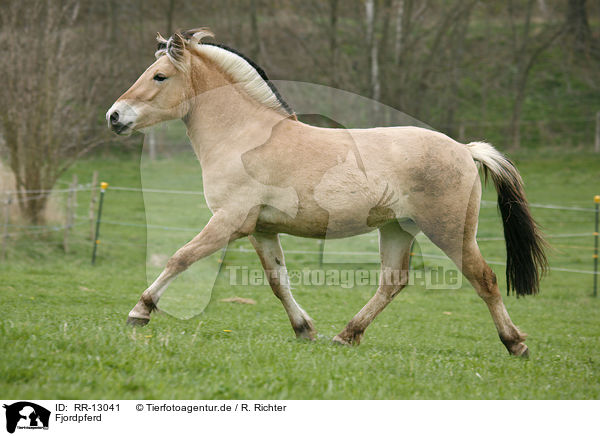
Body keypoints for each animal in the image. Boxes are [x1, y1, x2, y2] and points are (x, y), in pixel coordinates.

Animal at [105, 29, 548, 358]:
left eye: (160, 76)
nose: (114, 116)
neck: (244, 137)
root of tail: (464, 149)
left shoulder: (229, 222)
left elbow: (181, 258)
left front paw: (139, 311)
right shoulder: (261, 230)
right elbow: (277, 281)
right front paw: (305, 329)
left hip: (450, 231)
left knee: (484, 279)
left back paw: (516, 344)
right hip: (397, 229)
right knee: (392, 282)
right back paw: (346, 335)